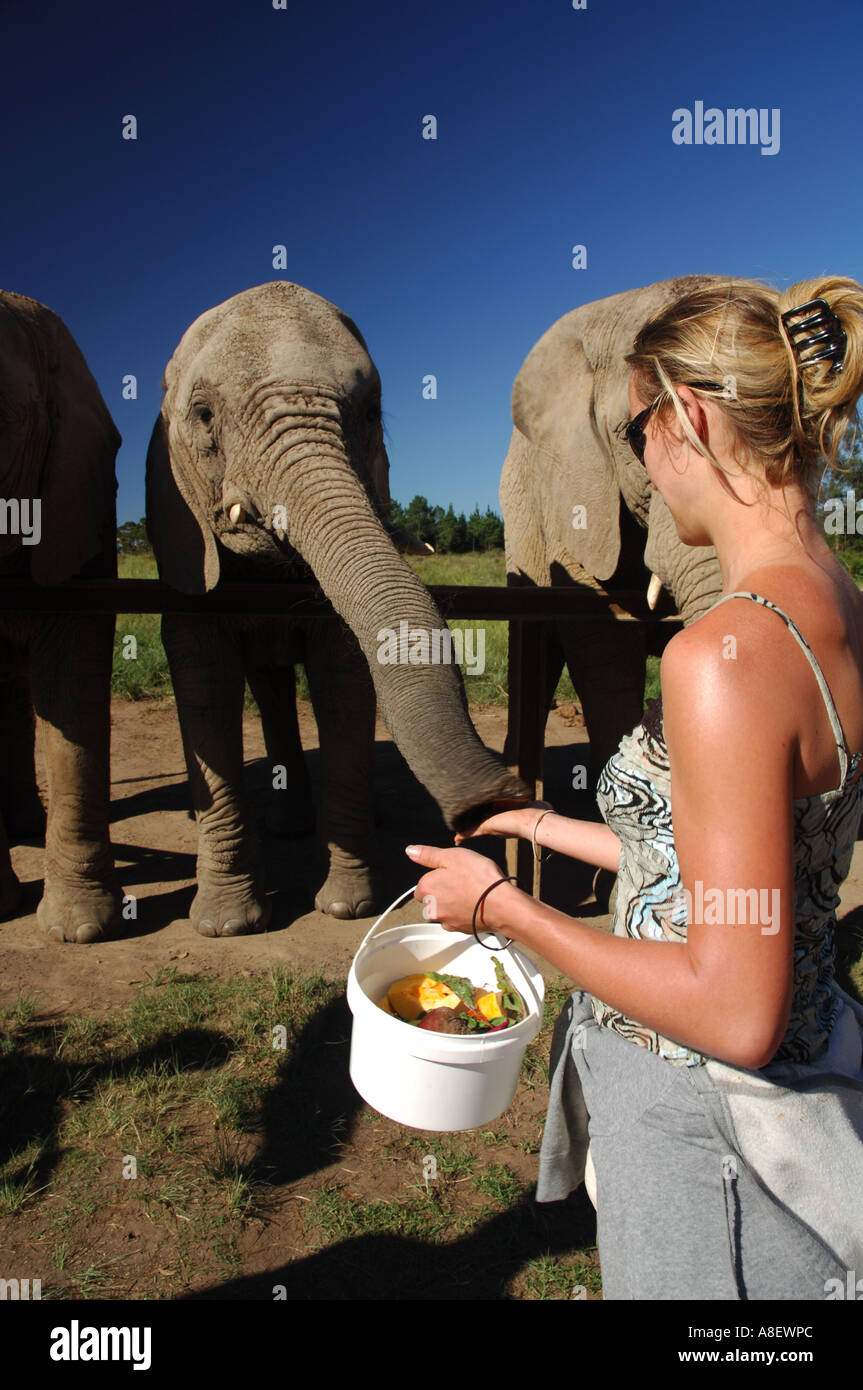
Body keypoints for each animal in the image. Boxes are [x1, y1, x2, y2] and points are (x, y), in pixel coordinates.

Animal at [146, 280, 528, 936]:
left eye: (372, 414)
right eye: (203, 416)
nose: (498, 797)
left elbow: (345, 684)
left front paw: (349, 908)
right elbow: (204, 689)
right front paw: (227, 926)